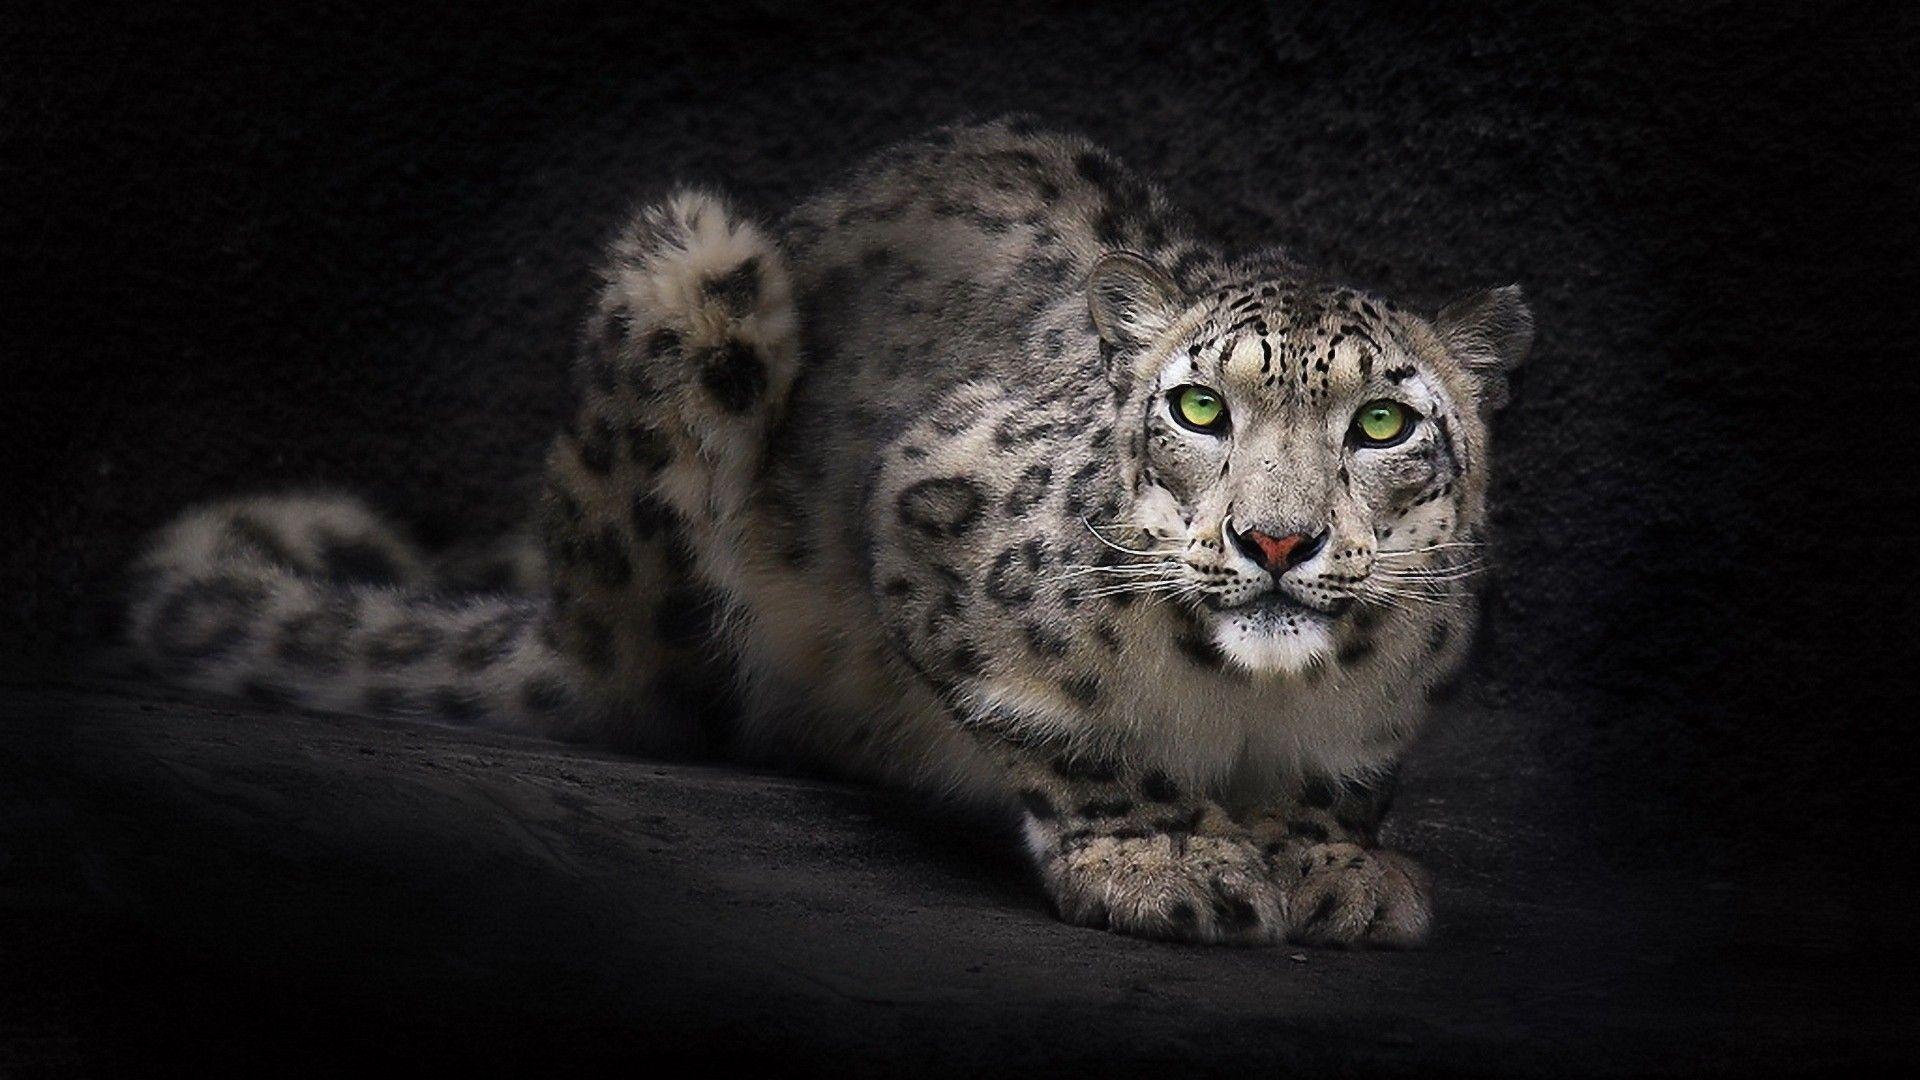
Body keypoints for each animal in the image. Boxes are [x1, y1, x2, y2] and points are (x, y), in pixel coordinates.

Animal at [128, 117, 1533, 947]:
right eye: (1199, 405)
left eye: (1383, 424)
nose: (1275, 544)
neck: (1251, 704)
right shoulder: (929, 508)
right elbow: (1061, 728)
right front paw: (1166, 857)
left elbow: (1345, 777)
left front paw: (1334, 865)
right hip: (692, 282)